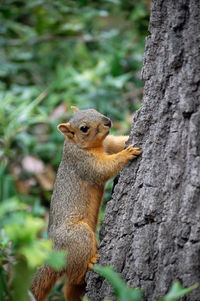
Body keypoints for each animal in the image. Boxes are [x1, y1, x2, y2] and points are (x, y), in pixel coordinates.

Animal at [31, 106, 141, 298]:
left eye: (93, 110)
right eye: (84, 128)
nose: (107, 121)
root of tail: (55, 252)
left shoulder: (108, 143)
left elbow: (118, 141)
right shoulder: (85, 163)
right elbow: (103, 169)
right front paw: (126, 153)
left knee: (70, 287)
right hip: (79, 237)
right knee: (75, 275)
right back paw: (90, 263)